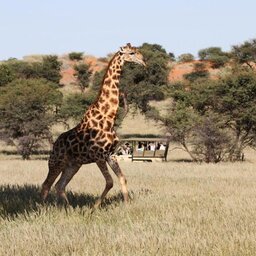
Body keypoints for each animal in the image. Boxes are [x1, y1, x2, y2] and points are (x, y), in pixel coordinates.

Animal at [41, 43, 146, 208]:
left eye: (138, 51)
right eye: (131, 53)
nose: (143, 62)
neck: (108, 117)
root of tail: (55, 144)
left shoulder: (110, 154)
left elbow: (122, 178)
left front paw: (127, 205)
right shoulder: (99, 156)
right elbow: (109, 182)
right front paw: (95, 207)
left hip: (73, 165)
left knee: (59, 185)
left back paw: (68, 208)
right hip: (56, 162)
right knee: (46, 185)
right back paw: (42, 208)